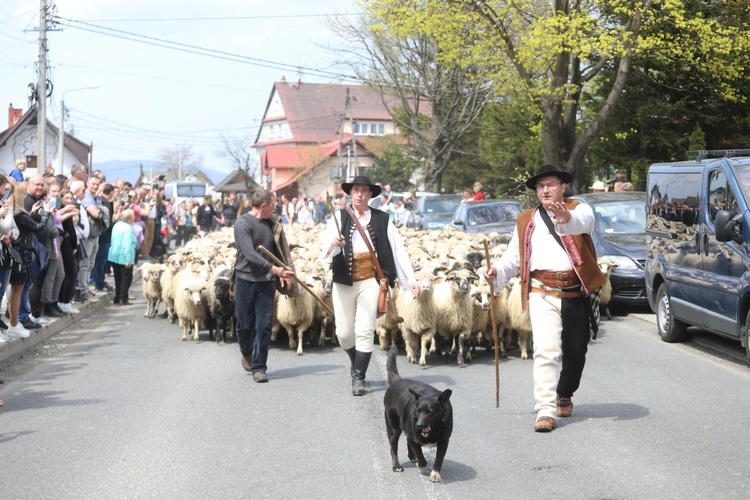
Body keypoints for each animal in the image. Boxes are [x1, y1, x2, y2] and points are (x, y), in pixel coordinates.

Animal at [384, 346, 456, 482]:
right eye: (417, 410)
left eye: (430, 412)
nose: (418, 425)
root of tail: (397, 381)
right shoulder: (415, 438)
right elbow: (420, 455)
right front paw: (421, 465)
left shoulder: (444, 441)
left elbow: (439, 459)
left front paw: (435, 473)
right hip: (393, 429)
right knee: (393, 447)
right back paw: (396, 465)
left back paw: (411, 457)